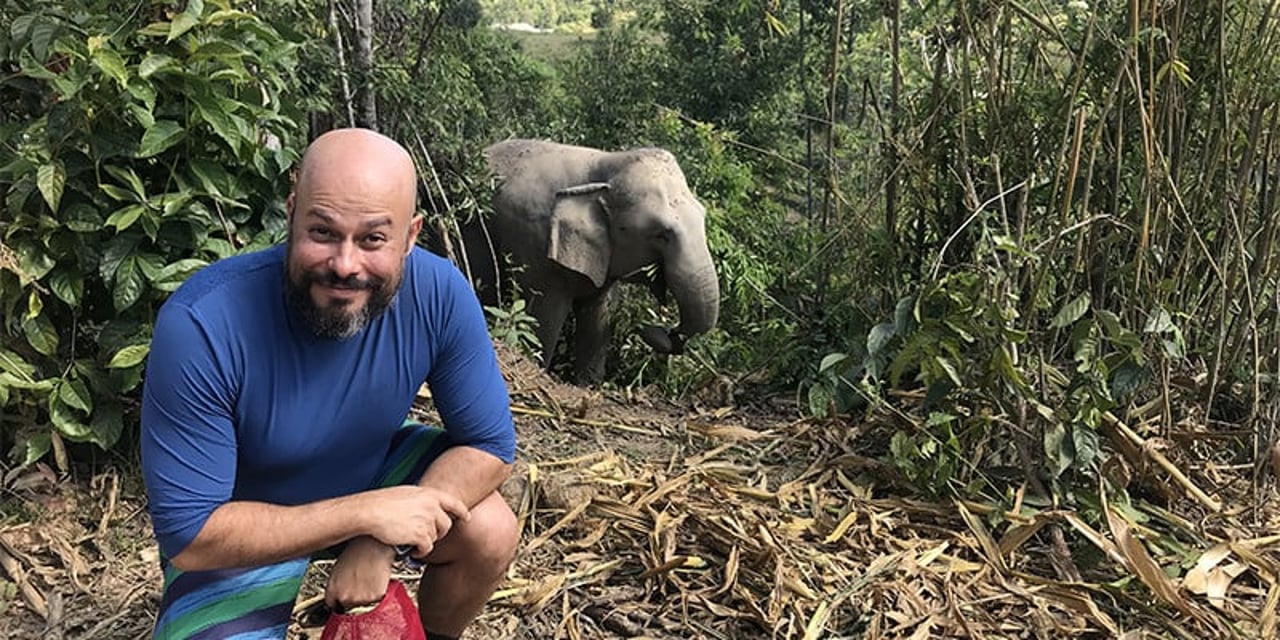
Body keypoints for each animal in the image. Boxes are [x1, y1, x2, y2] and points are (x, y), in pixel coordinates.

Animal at [460, 137, 721, 381]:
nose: (652, 328)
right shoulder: (536, 246)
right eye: (661, 234)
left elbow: (599, 315)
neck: (606, 164)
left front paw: (589, 384)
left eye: (703, 217)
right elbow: (544, 316)